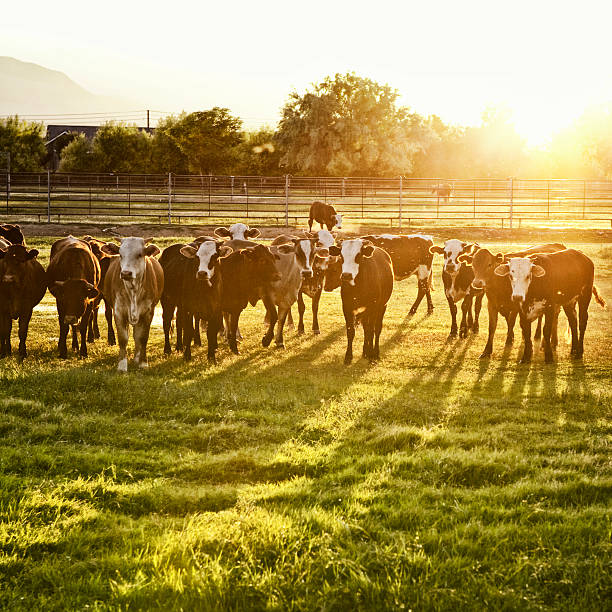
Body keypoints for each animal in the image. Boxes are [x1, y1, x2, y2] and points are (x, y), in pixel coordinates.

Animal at [103, 239, 165, 372]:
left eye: (139, 254)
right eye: (121, 255)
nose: (126, 273)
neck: (133, 290)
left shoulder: (148, 313)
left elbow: (143, 337)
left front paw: (143, 363)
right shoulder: (118, 311)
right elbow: (123, 338)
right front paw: (122, 365)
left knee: (137, 336)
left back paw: (137, 358)